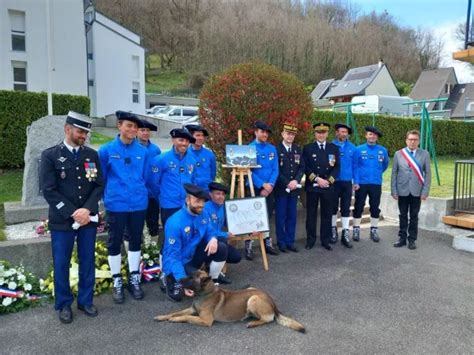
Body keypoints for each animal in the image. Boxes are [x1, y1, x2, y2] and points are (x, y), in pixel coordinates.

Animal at [154, 272, 306, 332]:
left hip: (253, 299)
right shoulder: (192, 309)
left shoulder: (205, 320)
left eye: (191, 278)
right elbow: (175, 312)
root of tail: (272, 302)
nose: (178, 280)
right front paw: (162, 316)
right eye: (188, 275)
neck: (205, 293)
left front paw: (175, 320)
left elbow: (185, 317)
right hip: (251, 289)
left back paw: (252, 323)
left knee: (267, 319)